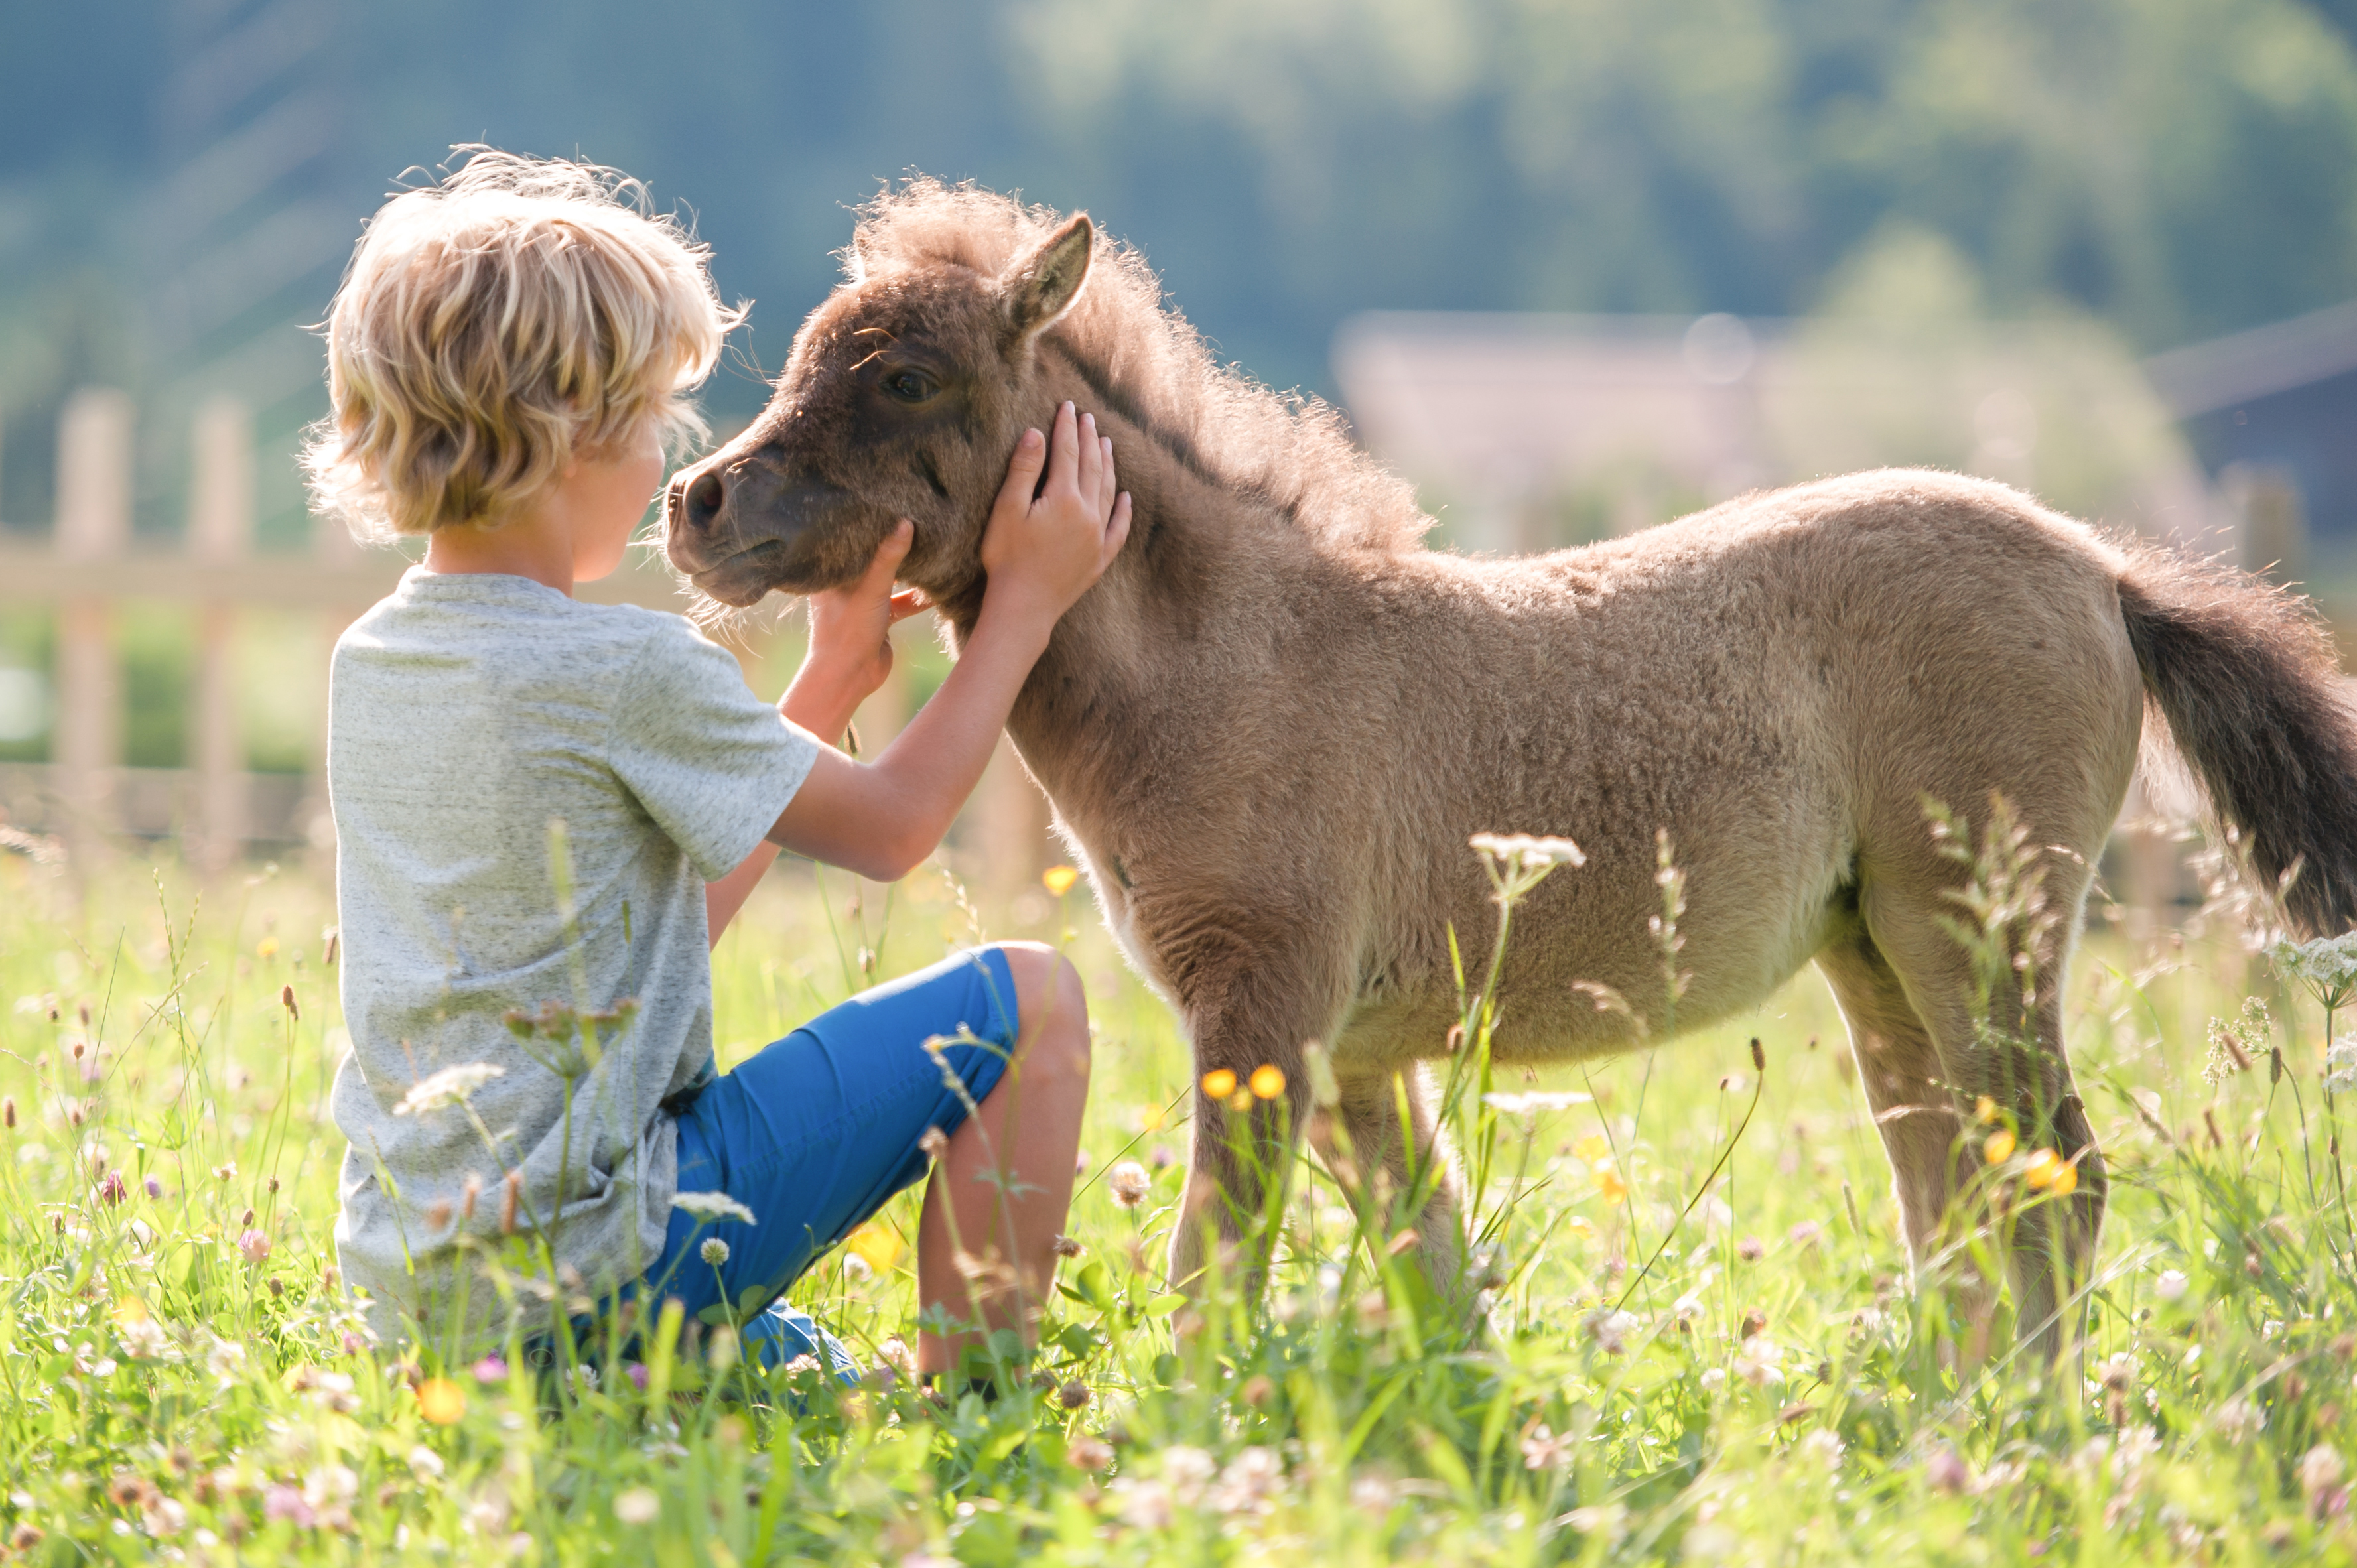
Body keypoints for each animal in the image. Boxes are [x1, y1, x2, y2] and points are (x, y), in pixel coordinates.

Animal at [661, 180, 2357, 1361]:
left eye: (905, 379)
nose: (697, 503)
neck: (1233, 668)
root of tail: (2101, 570)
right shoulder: (1356, 1053)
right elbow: (1433, 1281)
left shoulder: (1261, 1015)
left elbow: (1217, 1268)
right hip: (1879, 953)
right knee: (1951, 1187)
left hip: (1978, 932)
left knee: (2056, 1182)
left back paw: (2035, 1436)